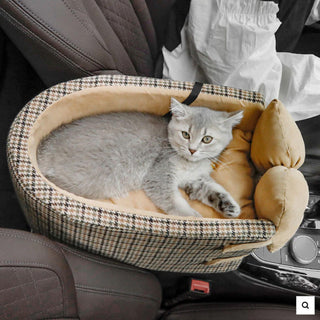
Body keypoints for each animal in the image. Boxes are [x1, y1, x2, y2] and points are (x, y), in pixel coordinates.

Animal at [37, 97, 242, 218]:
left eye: (207, 139)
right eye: (185, 134)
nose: (192, 150)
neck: (190, 164)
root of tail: (42, 147)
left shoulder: (195, 180)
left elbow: (213, 189)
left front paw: (228, 205)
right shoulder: (160, 176)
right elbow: (175, 202)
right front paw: (193, 219)